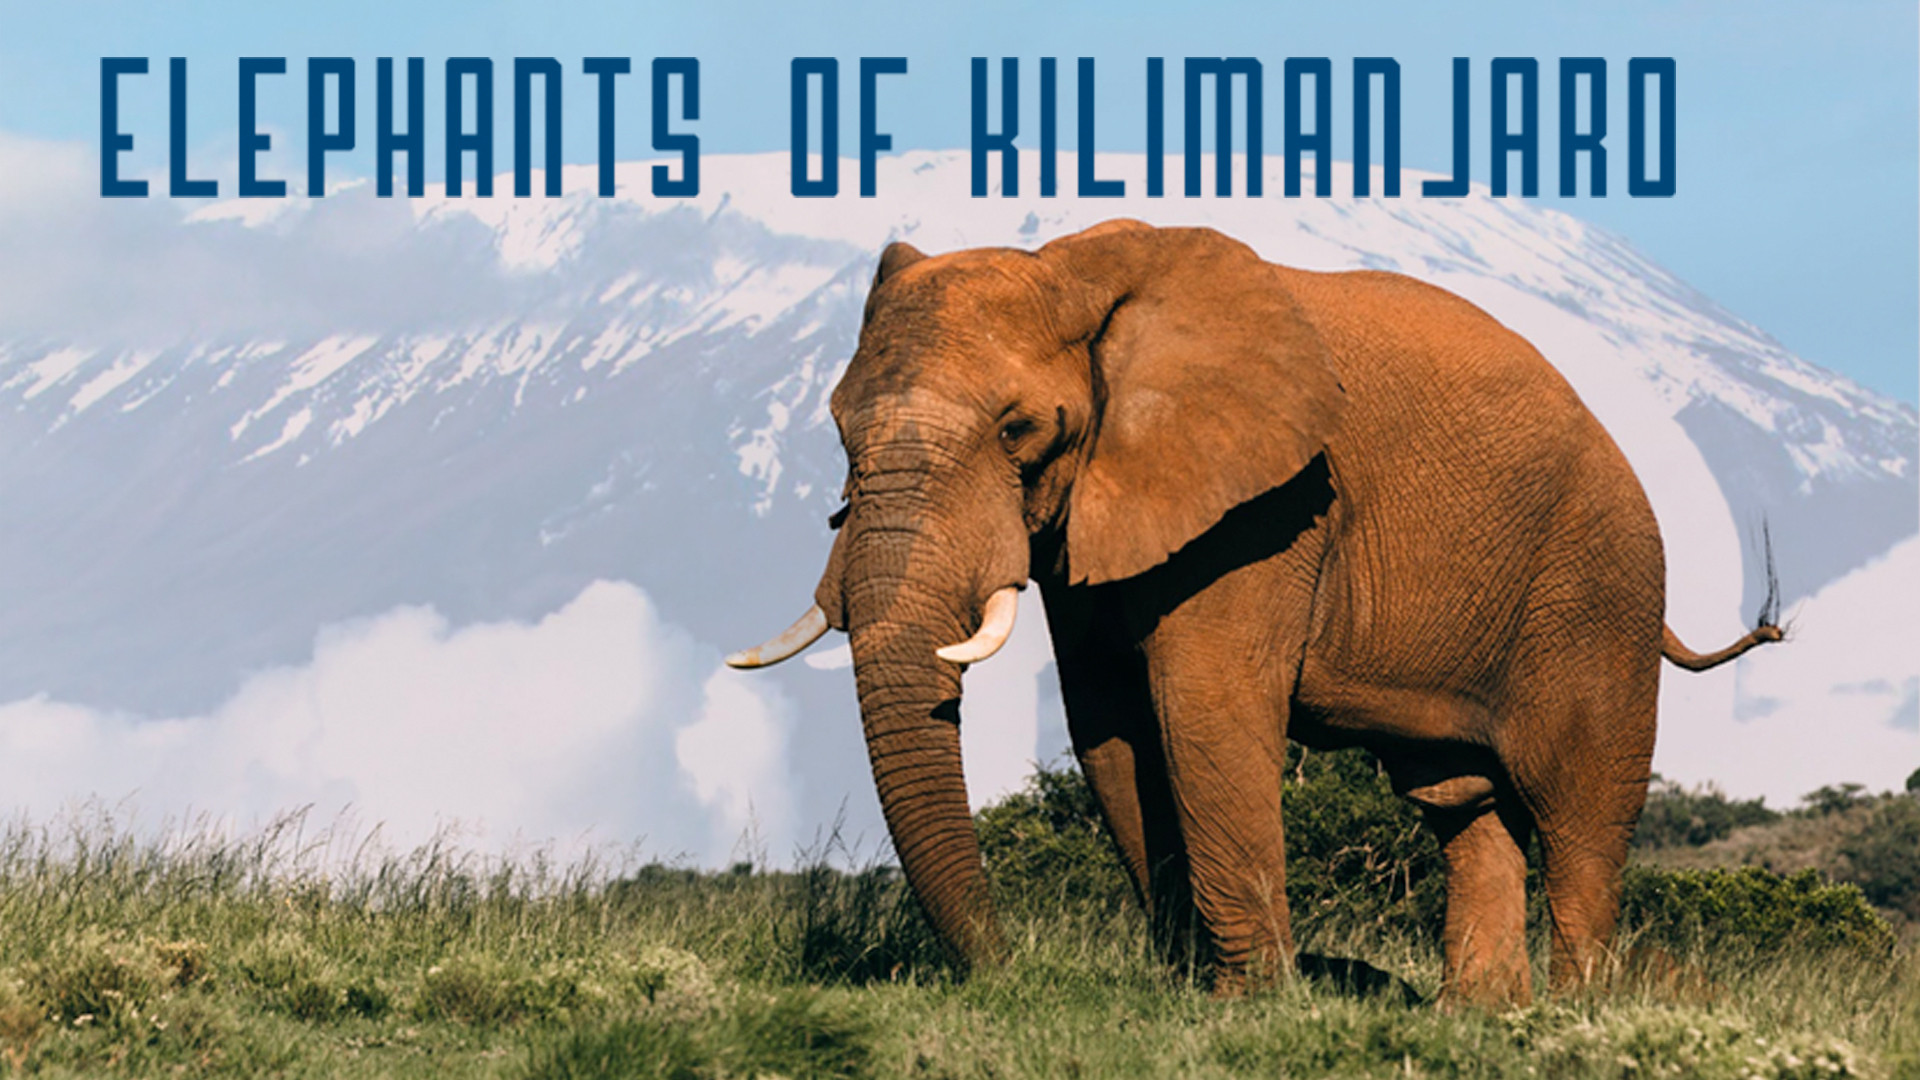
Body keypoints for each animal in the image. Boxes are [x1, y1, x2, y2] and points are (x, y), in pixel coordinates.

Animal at [727, 220, 1782, 1006]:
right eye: (836, 431)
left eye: (1019, 429)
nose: (1006, 973)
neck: (1077, 270)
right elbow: (1110, 725)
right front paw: (1187, 991)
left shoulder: (1270, 506)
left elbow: (1206, 708)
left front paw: (1251, 1005)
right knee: (1463, 804)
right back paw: (1476, 1019)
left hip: (1598, 588)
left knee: (1578, 812)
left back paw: (1575, 1015)